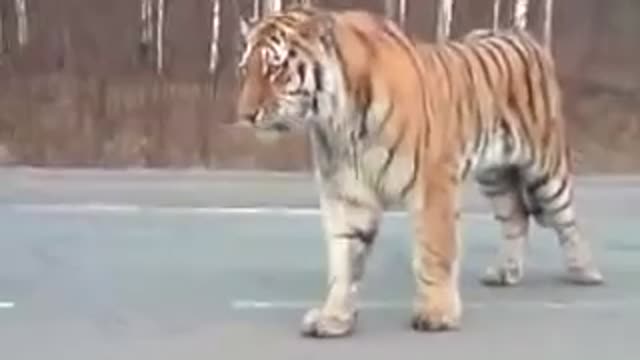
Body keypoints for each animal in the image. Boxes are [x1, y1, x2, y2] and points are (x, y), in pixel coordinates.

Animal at [232, 4, 604, 338]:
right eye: (246, 69)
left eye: (276, 69)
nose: (245, 115)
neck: (336, 121)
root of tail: (522, 35)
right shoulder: (348, 194)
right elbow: (344, 259)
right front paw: (334, 317)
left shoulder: (432, 184)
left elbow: (434, 253)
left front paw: (437, 313)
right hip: (495, 176)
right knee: (516, 218)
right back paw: (504, 272)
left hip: (546, 167)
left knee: (567, 218)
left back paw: (585, 271)